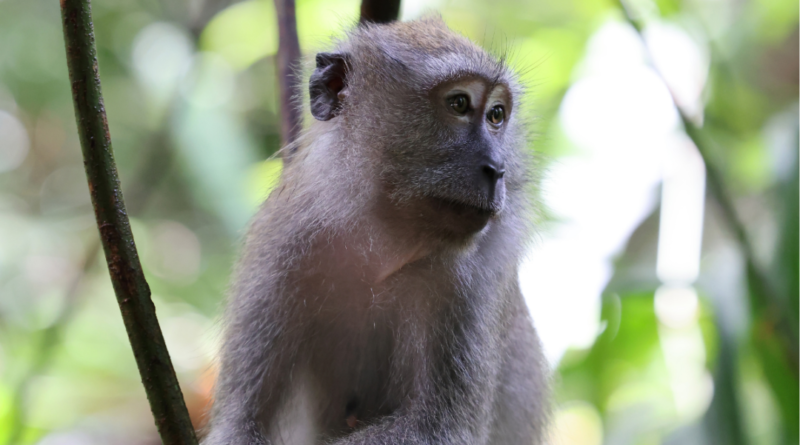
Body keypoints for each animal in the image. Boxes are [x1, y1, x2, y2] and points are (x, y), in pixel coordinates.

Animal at [202, 15, 552, 442]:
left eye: (497, 115)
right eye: (459, 104)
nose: (497, 169)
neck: (382, 239)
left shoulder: (473, 277)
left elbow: (435, 427)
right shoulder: (280, 243)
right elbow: (240, 422)